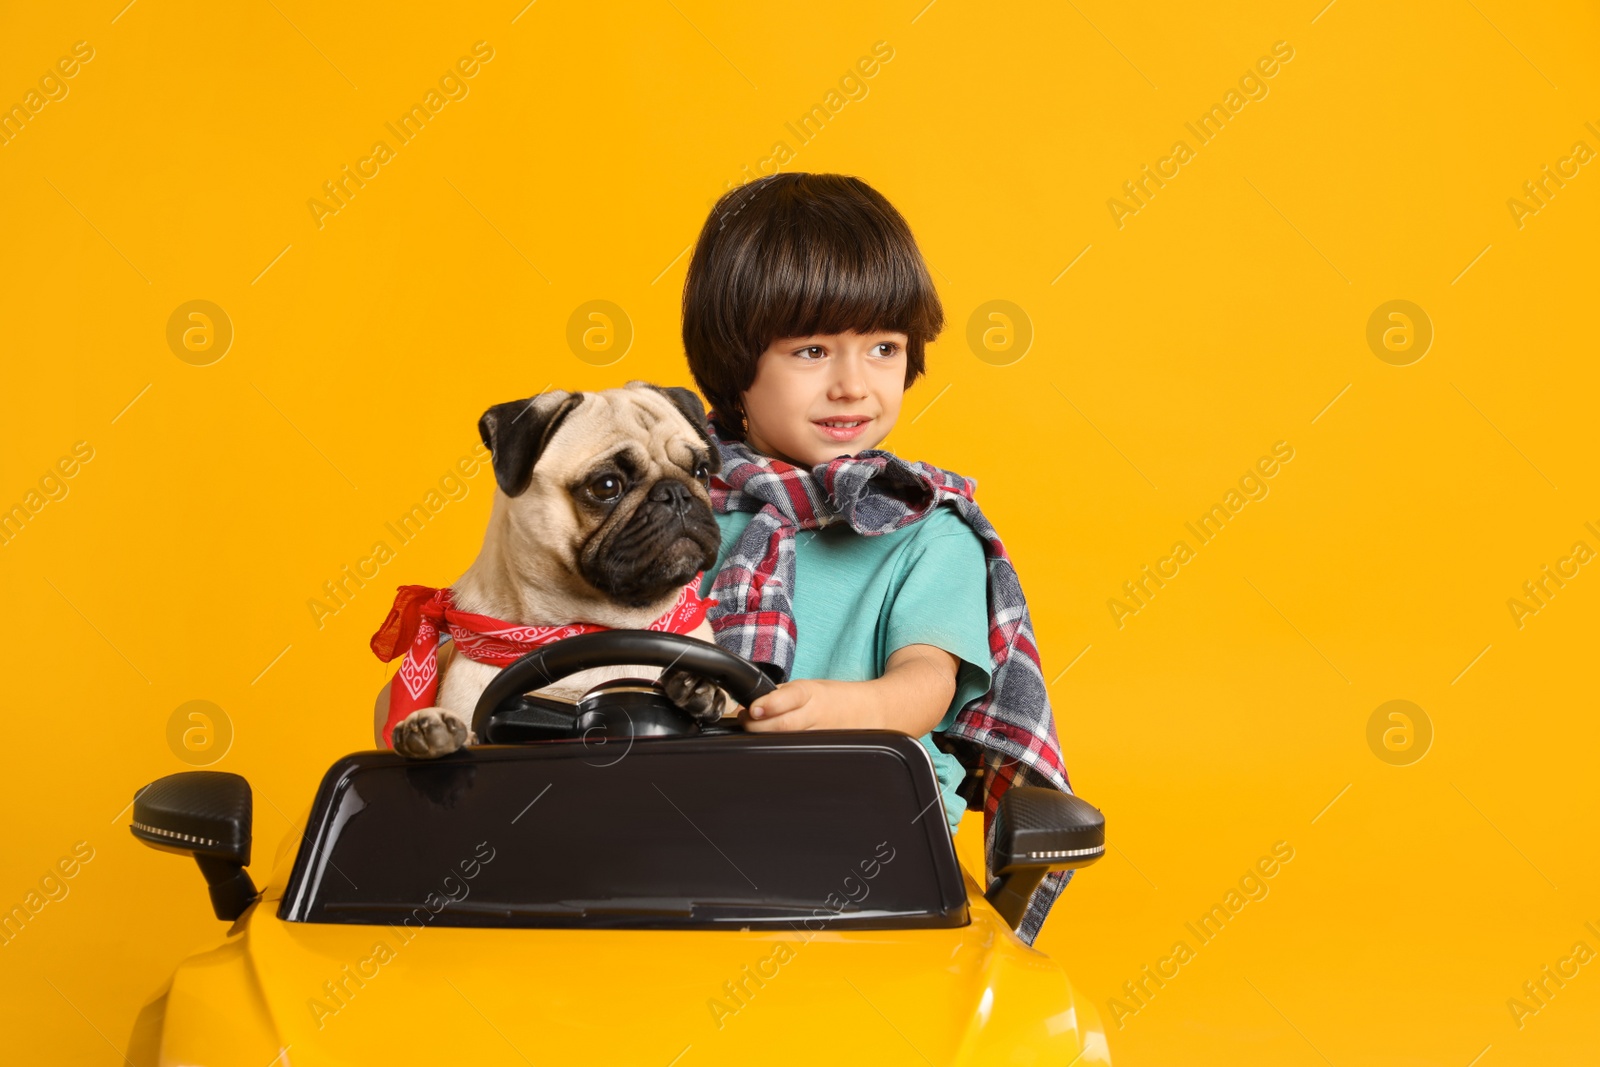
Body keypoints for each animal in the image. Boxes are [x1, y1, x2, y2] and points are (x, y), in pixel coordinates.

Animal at [377, 379, 729, 755]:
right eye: (606, 486)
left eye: (701, 473)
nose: (675, 493)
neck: (599, 630)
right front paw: (430, 731)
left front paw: (698, 688)